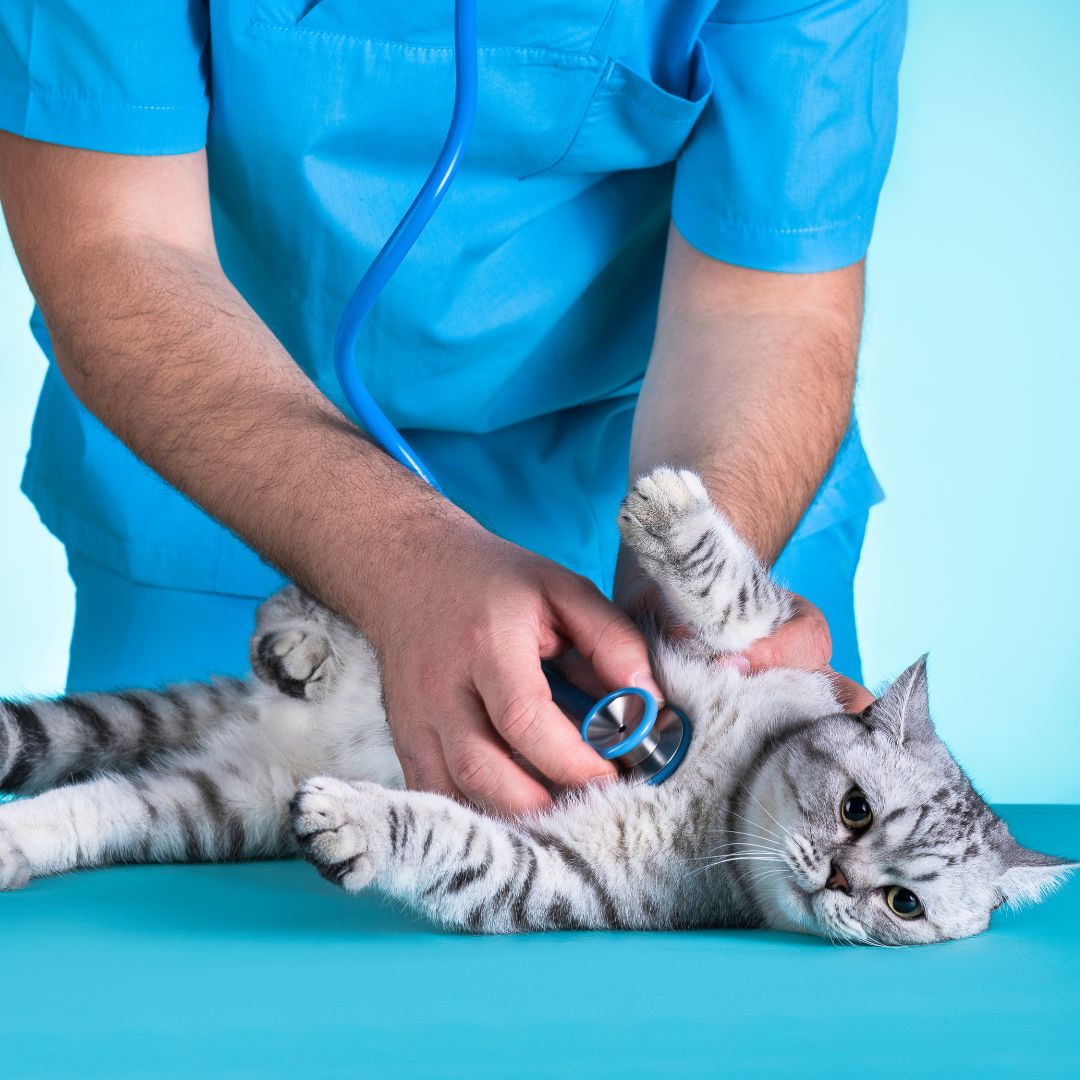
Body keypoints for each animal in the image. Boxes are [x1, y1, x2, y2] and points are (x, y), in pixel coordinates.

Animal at [0, 468, 1071, 941]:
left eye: (904, 903)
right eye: (854, 809)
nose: (841, 882)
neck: (726, 786)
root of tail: (273, 721)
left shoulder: (555, 879)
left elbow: (452, 842)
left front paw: (355, 823)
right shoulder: (717, 648)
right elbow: (739, 596)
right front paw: (677, 513)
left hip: (211, 806)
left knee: (92, 806)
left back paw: (16, 841)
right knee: (305, 603)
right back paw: (295, 639)